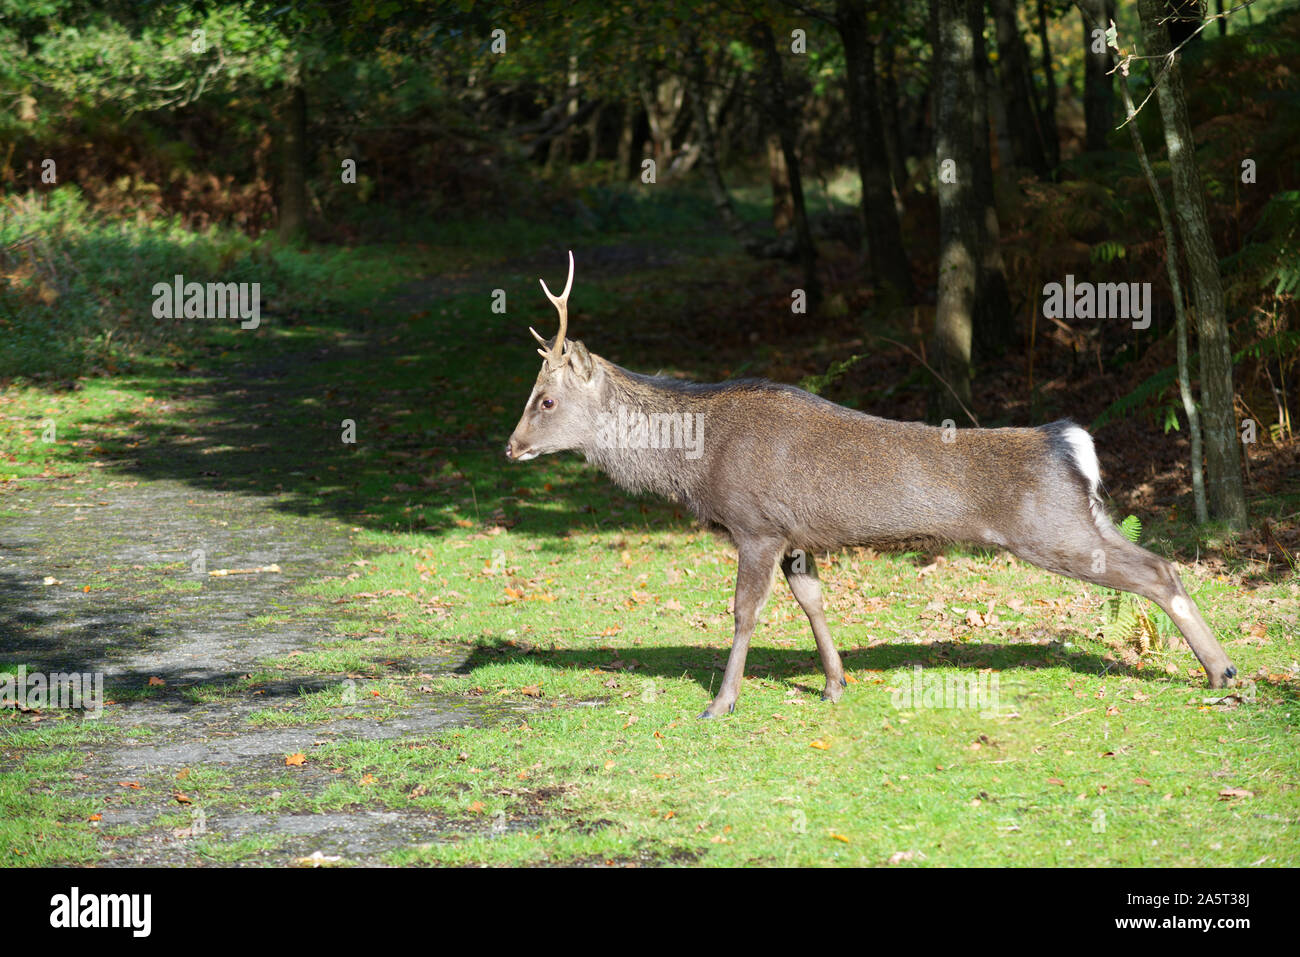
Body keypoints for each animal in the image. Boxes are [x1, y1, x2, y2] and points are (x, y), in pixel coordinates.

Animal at [505, 252, 1238, 718]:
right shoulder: (796, 536)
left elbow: (744, 612)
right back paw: (1219, 667)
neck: (696, 463)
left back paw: (1222, 671)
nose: (511, 445)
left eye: (545, 398)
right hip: (1087, 516)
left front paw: (722, 702)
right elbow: (813, 602)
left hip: (1051, 530)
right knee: (1158, 560)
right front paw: (834, 684)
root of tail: (1071, 442)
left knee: (1157, 571)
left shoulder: (756, 524)